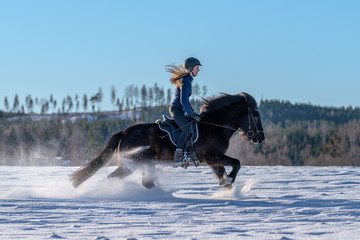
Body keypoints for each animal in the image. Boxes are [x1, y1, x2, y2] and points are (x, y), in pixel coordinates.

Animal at [71, 93, 266, 190]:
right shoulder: (212, 157)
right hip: (132, 163)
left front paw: (229, 191)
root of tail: (123, 133)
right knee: (113, 178)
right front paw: (229, 180)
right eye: (256, 115)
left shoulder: (212, 161)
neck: (215, 125)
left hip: (146, 162)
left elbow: (224, 174)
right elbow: (237, 163)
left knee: (146, 183)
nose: (260, 137)